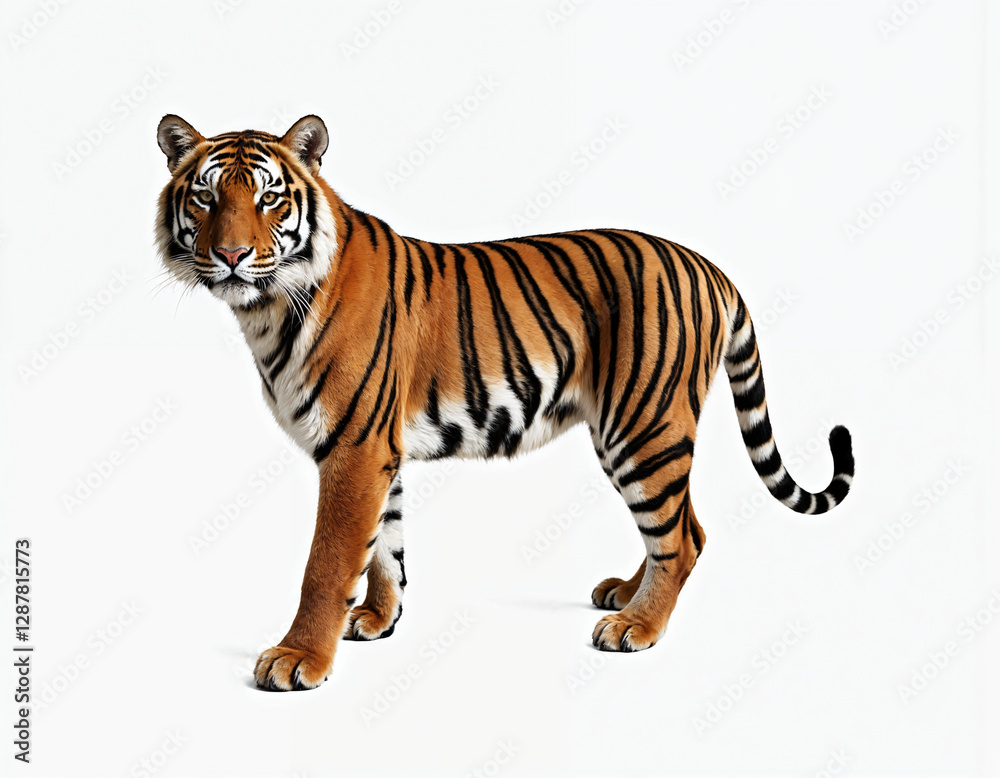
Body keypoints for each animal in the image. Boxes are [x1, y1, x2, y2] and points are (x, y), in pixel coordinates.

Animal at [155, 114, 854, 692]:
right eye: (206, 196)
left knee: (679, 537)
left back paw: (636, 627)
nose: (231, 255)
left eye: (269, 198)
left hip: (644, 426)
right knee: (689, 528)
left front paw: (299, 658)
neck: (266, 311)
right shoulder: (381, 450)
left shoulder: (354, 448)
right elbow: (386, 546)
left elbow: (327, 563)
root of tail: (709, 265)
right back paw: (624, 594)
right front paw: (379, 619)